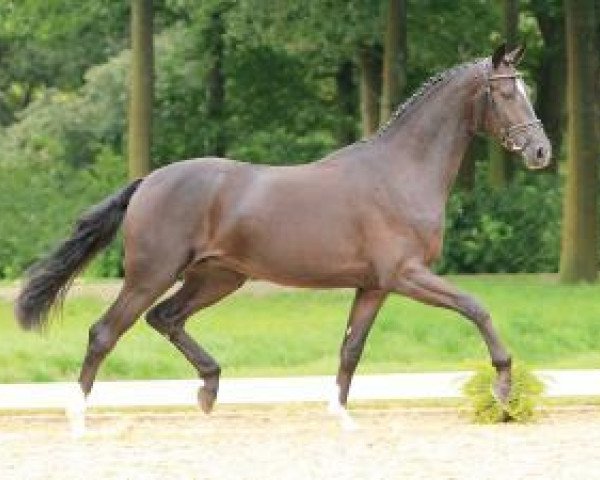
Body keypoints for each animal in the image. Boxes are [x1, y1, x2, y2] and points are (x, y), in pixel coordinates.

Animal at [14, 43, 552, 430]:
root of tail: (148, 181)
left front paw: (340, 415)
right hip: (152, 274)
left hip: (217, 278)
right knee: (106, 331)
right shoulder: (407, 275)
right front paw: (504, 387)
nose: (542, 152)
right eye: (507, 93)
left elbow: (351, 349)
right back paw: (78, 413)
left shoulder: (374, 286)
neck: (401, 174)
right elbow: (476, 307)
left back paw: (209, 389)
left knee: (165, 318)